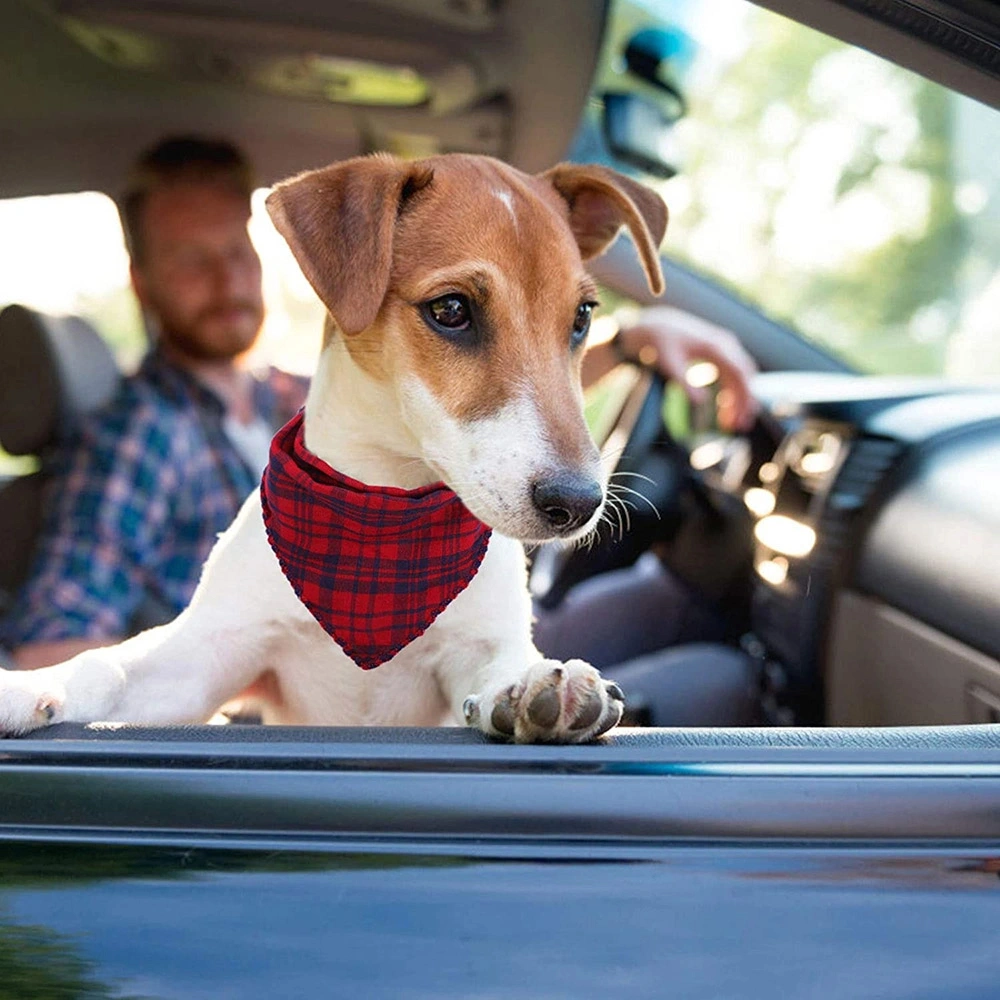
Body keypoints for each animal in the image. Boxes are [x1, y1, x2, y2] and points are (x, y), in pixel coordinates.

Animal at [1, 150, 672, 744]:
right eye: (451, 308)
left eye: (582, 317)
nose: (578, 503)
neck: (379, 513)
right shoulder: (210, 654)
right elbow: (104, 664)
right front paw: (27, 685)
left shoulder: (474, 647)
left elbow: (503, 663)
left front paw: (534, 684)